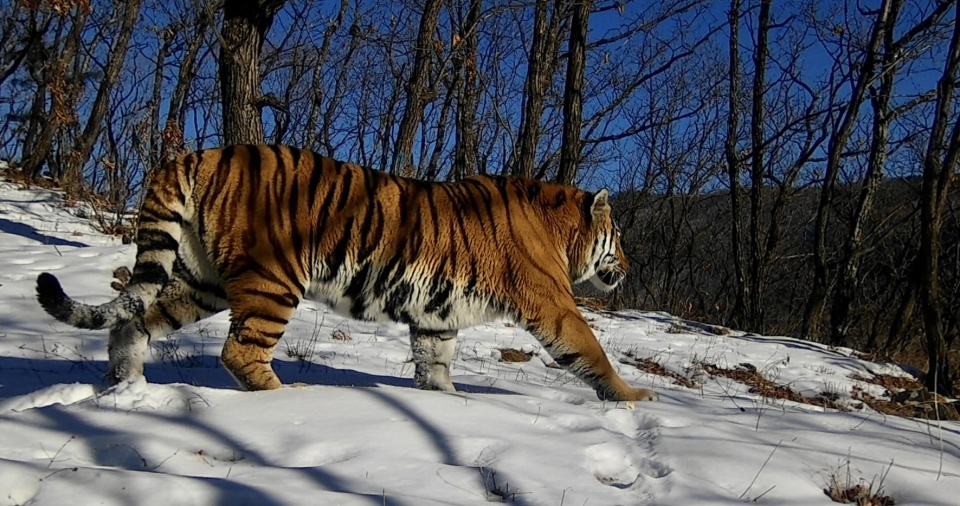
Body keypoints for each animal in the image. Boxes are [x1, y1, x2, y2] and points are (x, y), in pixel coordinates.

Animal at [33, 144, 656, 402]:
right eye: (621, 240)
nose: (629, 266)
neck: (561, 231)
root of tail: (198, 154)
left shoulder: (437, 315)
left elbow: (435, 365)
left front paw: (448, 404)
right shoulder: (553, 303)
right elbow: (592, 351)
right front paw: (633, 398)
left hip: (198, 279)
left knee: (132, 321)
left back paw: (125, 384)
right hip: (274, 280)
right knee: (240, 351)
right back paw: (288, 397)